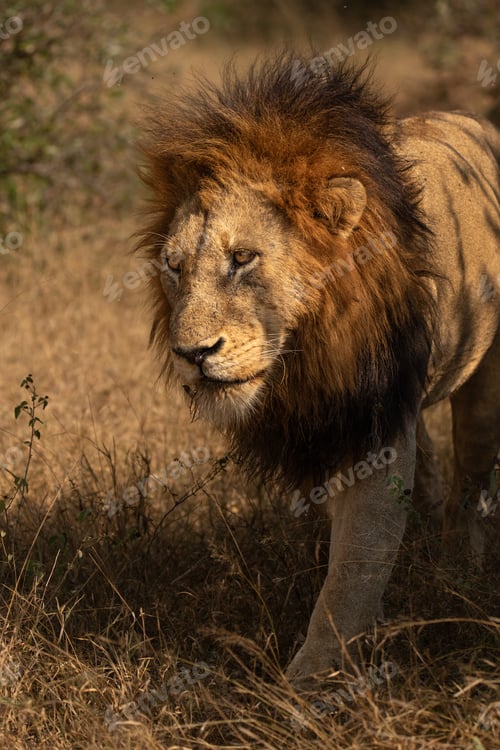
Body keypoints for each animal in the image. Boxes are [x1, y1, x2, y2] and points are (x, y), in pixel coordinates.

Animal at [136, 54, 500, 683]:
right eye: (174, 267)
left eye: (243, 258)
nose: (192, 354)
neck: (307, 353)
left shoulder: (373, 426)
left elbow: (353, 567)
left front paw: (310, 683)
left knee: (472, 479)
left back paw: (459, 566)